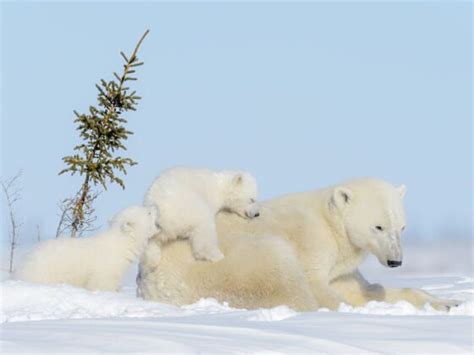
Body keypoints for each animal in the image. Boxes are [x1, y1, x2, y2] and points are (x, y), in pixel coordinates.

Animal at [139, 178, 458, 312]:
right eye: (377, 226)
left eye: (401, 227)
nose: (395, 261)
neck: (330, 223)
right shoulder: (311, 241)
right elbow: (315, 282)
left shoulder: (342, 268)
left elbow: (364, 289)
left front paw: (448, 302)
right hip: (224, 265)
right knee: (280, 277)